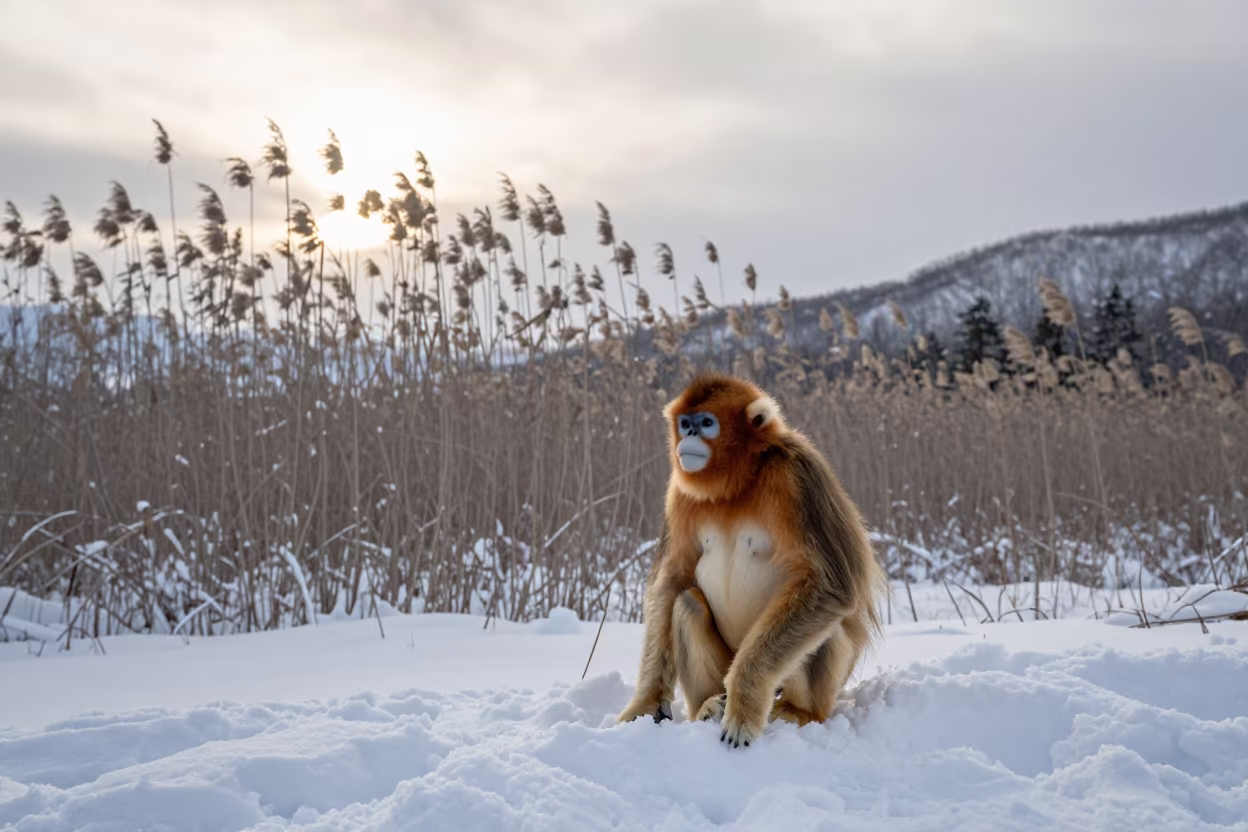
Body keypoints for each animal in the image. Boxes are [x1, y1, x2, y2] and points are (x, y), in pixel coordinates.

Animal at [617, 374, 886, 748]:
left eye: (706, 423)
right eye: (685, 423)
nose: (689, 435)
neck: (737, 485)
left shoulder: (798, 474)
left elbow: (830, 586)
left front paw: (744, 707)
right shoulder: (679, 493)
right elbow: (672, 578)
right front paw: (646, 702)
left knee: (823, 616)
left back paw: (797, 711)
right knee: (687, 603)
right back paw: (706, 706)